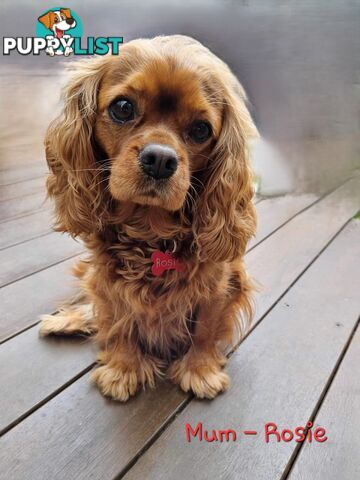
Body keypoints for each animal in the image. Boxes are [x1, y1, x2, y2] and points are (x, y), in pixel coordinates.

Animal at [39, 35, 258, 400]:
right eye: (123, 108)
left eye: (201, 129)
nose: (160, 159)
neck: (150, 232)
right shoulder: (108, 280)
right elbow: (119, 321)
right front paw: (124, 368)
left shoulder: (221, 283)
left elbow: (205, 328)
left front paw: (200, 370)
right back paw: (68, 320)